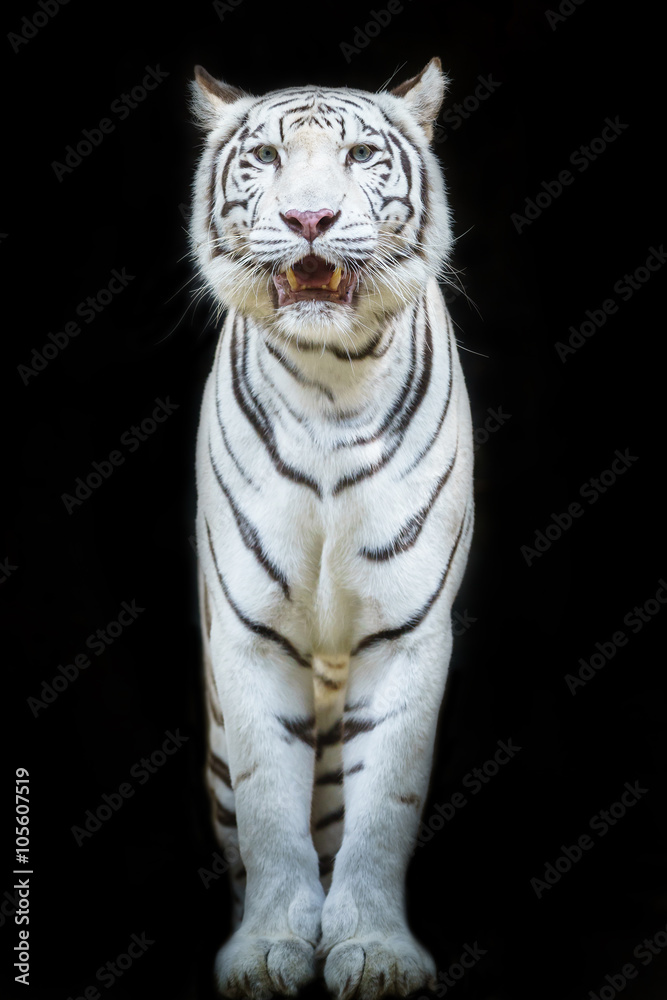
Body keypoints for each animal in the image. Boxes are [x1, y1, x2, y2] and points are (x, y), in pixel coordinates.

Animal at [190, 57, 475, 1000]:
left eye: (357, 155)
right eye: (267, 159)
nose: (308, 219)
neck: (329, 375)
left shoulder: (408, 630)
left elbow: (384, 805)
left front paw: (376, 951)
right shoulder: (248, 633)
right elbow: (268, 807)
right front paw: (270, 946)